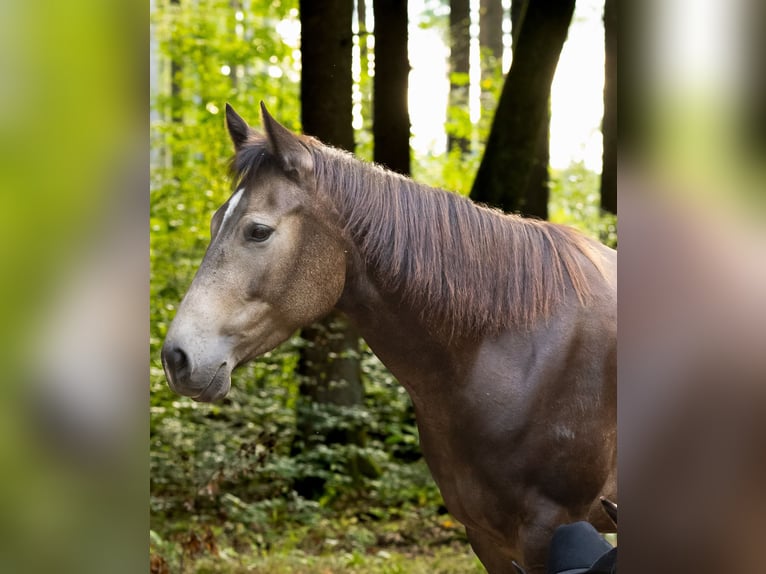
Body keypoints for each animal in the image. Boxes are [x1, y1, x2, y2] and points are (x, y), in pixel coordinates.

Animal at [161, 103, 617, 573]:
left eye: (258, 231)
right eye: (215, 222)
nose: (175, 357)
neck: (512, 353)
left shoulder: (550, 531)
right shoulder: (486, 537)